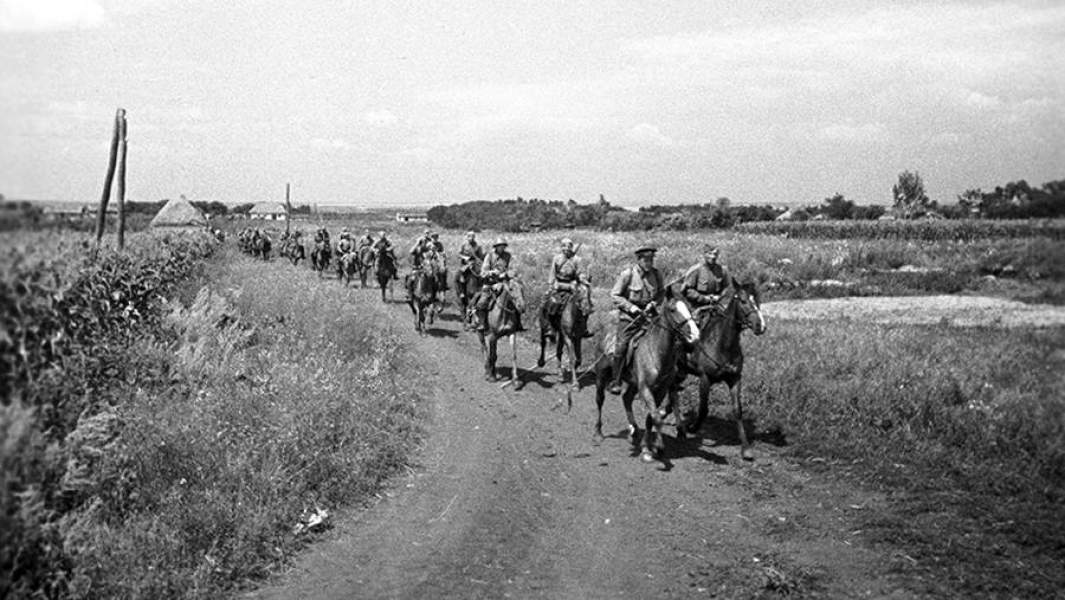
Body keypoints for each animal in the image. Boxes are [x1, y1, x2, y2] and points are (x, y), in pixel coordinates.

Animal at [596, 292, 702, 464]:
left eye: (689, 307)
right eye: (672, 309)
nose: (695, 335)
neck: (657, 353)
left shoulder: (660, 390)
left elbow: (651, 418)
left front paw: (648, 447)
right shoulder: (645, 388)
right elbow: (657, 418)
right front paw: (656, 448)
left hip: (633, 383)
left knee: (626, 398)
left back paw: (633, 429)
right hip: (601, 375)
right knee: (600, 400)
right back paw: (598, 433)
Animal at [673, 281, 766, 460]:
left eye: (758, 300)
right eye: (743, 301)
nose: (761, 326)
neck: (722, 344)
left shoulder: (735, 379)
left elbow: (737, 410)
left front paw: (746, 449)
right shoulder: (705, 378)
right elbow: (703, 409)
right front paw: (693, 428)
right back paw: (680, 427)